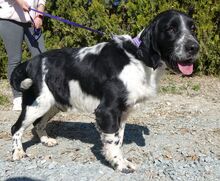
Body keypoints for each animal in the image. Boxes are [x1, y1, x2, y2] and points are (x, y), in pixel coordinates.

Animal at [10, 9, 199, 173]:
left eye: (192, 28)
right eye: (171, 29)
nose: (194, 47)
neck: (138, 58)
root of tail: (30, 62)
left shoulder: (122, 112)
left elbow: (118, 138)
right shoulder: (107, 110)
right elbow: (113, 141)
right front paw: (120, 164)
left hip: (52, 104)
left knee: (38, 124)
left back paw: (46, 140)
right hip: (36, 104)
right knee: (16, 127)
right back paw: (17, 152)